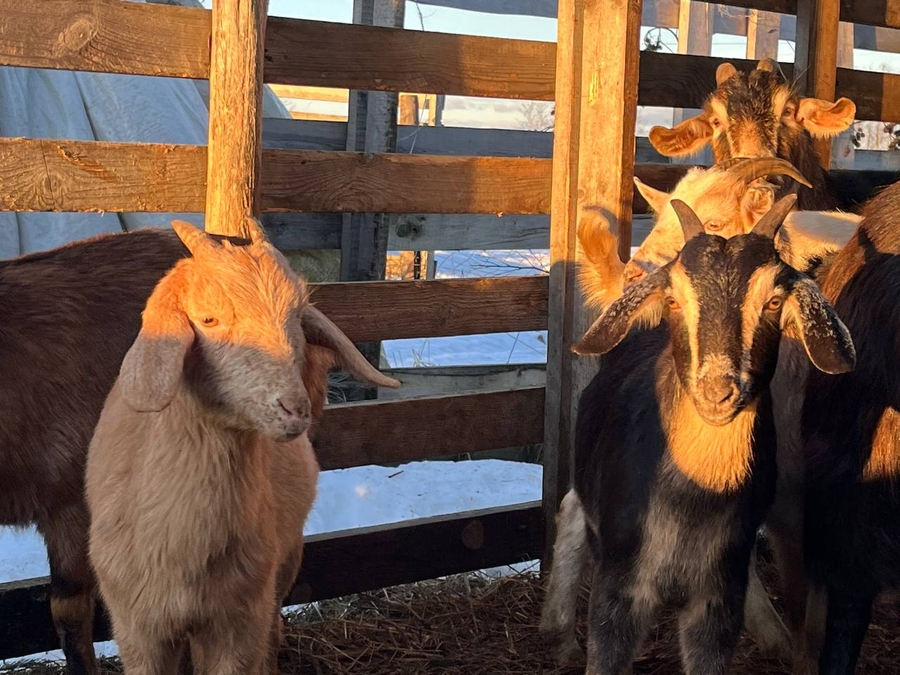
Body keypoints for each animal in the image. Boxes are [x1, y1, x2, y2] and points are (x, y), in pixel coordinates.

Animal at [568, 197, 852, 675]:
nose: (718, 390)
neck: (692, 500)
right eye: (673, 300)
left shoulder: (718, 596)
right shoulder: (618, 585)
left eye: (774, 301)